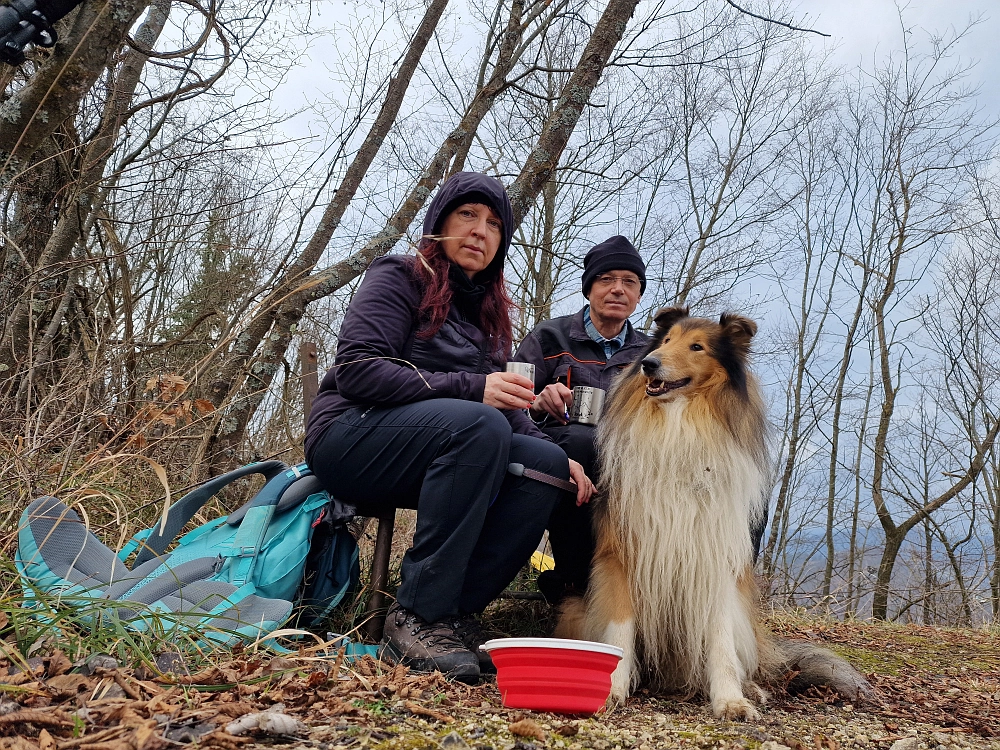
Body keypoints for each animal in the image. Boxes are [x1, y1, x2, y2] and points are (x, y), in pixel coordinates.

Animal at [560, 306, 872, 724]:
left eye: (697, 347)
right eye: (666, 340)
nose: (648, 363)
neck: (680, 427)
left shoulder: (715, 557)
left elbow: (721, 641)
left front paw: (730, 699)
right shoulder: (621, 556)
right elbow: (619, 633)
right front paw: (610, 690)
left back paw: (751, 688)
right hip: (576, 607)